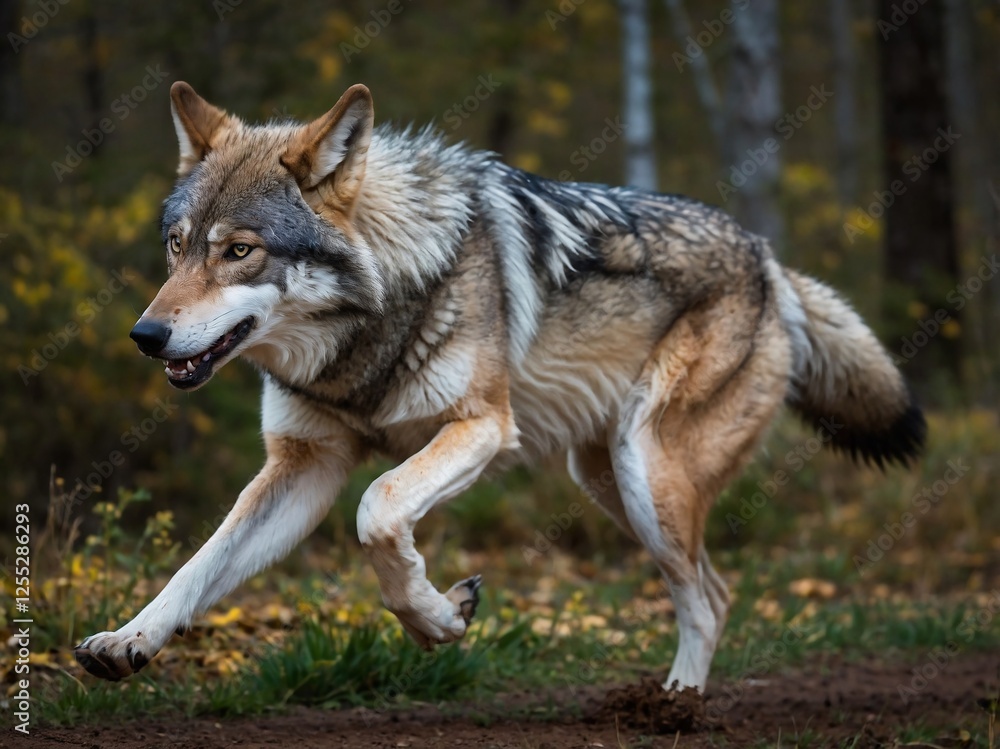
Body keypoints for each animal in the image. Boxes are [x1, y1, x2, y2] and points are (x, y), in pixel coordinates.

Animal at [75, 82, 925, 691]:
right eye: (177, 246)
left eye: (240, 251)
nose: (146, 336)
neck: (377, 318)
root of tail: (770, 260)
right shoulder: (303, 465)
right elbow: (200, 562)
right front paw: (129, 639)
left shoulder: (480, 426)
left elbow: (378, 508)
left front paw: (438, 621)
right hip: (607, 478)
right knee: (710, 591)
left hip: (648, 472)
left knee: (710, 598)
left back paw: (676, 706)